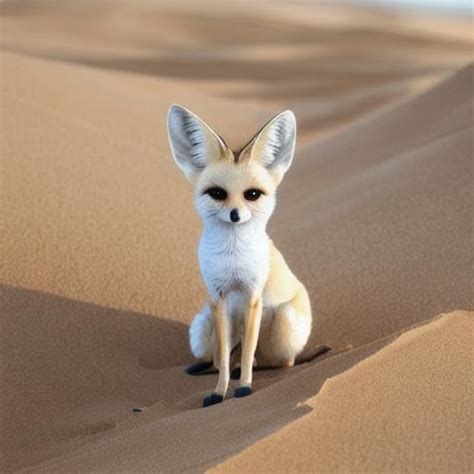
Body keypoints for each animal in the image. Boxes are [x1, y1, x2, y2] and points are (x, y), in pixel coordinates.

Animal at [168, 104, 312, 408]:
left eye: (252, 195)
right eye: (217, 194)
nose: (235, 215)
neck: (231, 259)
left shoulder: (253, 297)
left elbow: (246, 353)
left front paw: (244, 386)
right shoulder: (218, 299)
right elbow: (223, 356)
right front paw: (219, 391)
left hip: (283, 319)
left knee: (281, 361)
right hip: (200, 326)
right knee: (216, 355)